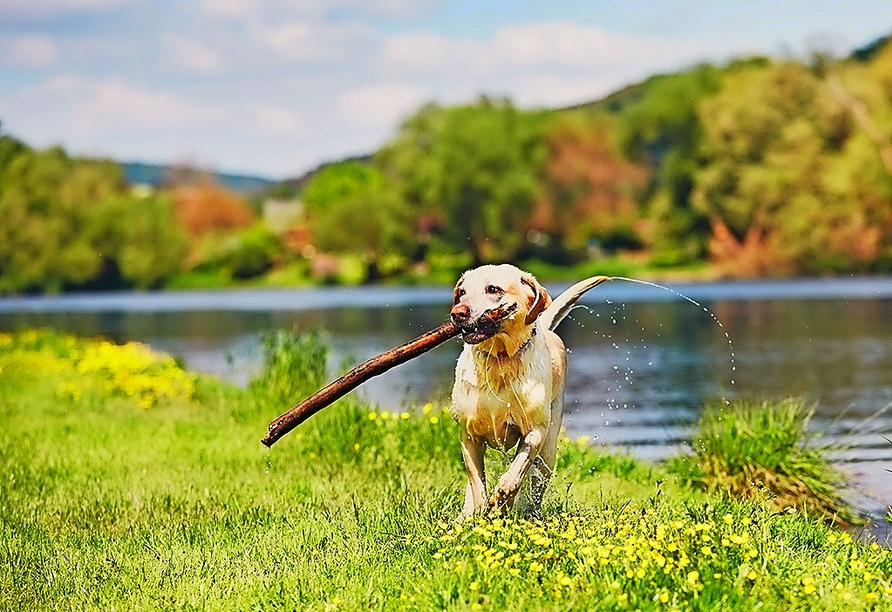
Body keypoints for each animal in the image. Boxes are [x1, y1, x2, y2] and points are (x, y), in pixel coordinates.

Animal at [450, 262, 608, 516]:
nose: (458, 313)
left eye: (492, 289)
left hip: (549, 450)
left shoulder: (536, 431)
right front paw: (479, 511)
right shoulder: (468, 435)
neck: (500, 359)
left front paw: (502, 495)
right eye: (462, 292)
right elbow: (476, 482)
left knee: (536, 483)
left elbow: (517, 470)